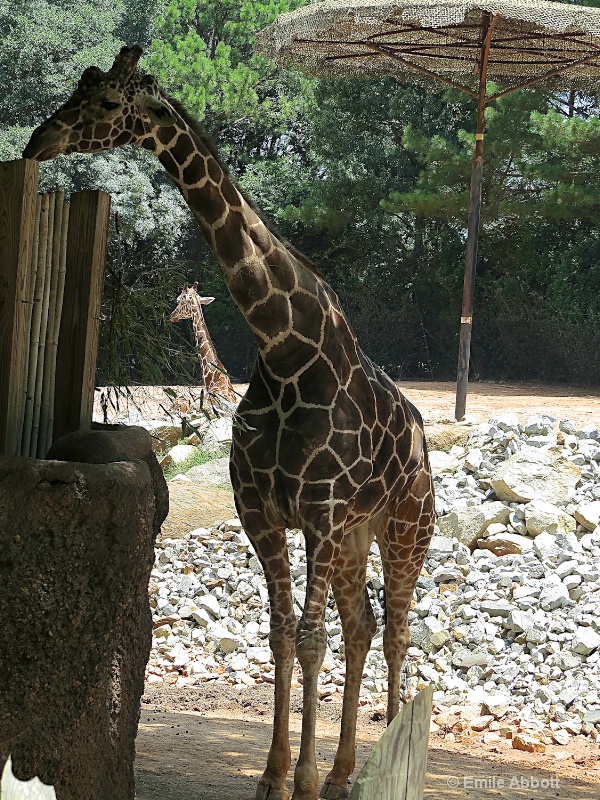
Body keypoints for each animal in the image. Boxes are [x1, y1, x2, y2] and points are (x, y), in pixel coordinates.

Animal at [24, 48, 436, 800]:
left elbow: (311, 639)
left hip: (404, 525)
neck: (285, 348)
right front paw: (276, 776)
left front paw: (300, 778)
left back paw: (387, 756)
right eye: (79, 84)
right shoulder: (264, 510)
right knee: (363, 625)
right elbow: (282, 634)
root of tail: (423, 440)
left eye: (108, 104)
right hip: (356, 535)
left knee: (395, 627)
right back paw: (344, 773)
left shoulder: (320, 511)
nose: (40, 141)